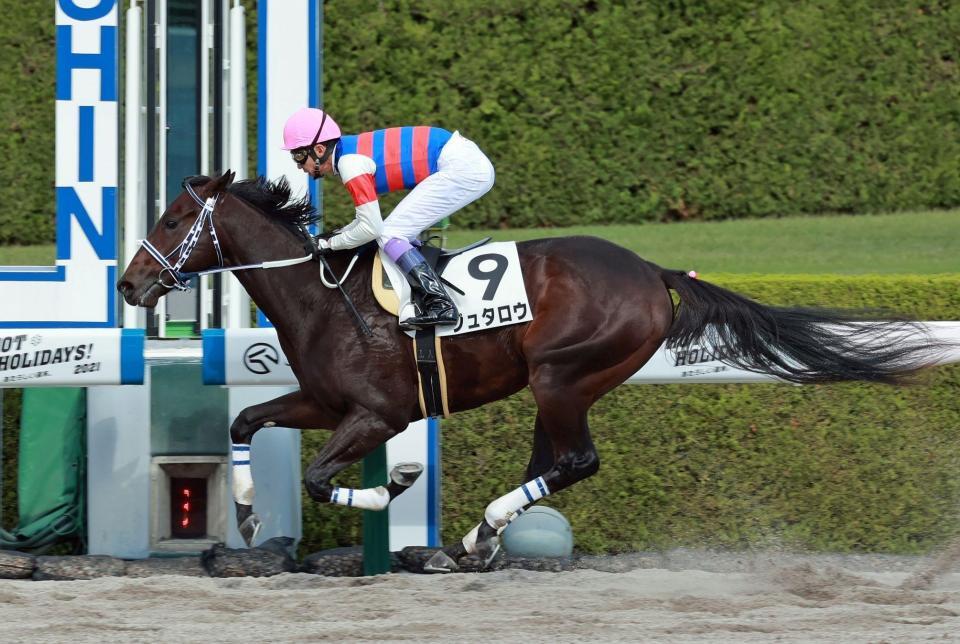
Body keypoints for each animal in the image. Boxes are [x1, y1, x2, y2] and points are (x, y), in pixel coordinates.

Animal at [118, 171, 940, 572]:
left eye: (171, 220)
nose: (129, 285)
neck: (324, 296)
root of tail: (651, 270)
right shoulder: (324, 402)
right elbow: (244, 418)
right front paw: (249, 514)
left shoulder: (379, 414)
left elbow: (323, 478)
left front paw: (397, 484)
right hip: (564, 385)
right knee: (554, 461)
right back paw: (478, 539)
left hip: (563, 375)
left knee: (575, 458)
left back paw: (477, 534)